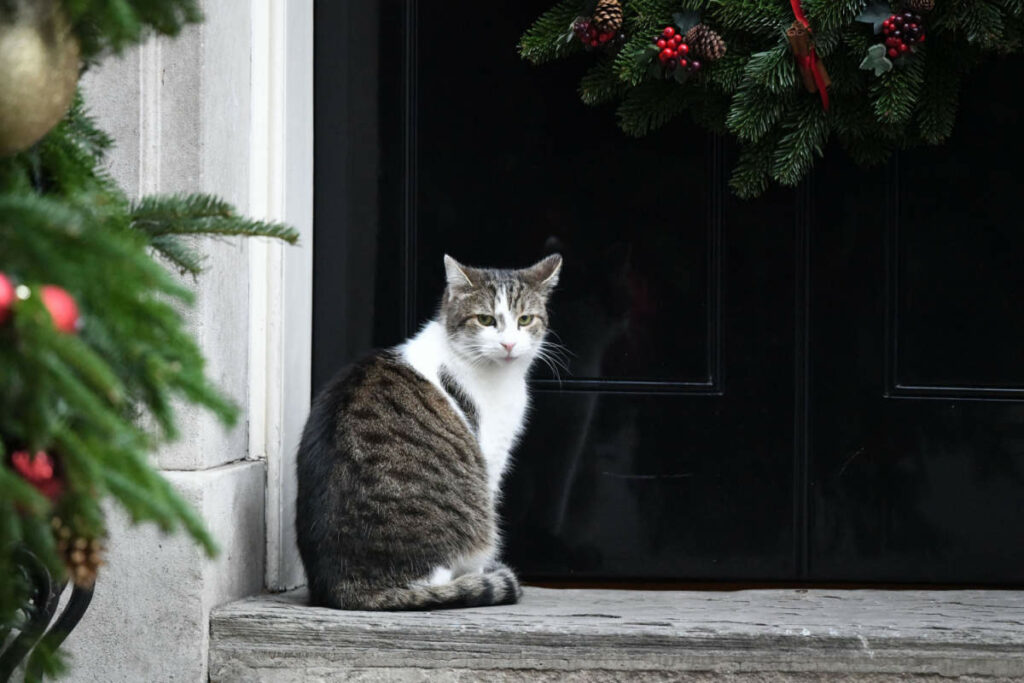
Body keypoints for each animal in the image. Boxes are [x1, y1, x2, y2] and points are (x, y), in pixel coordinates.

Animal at [296, 253, 565, 610]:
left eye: (524, 320)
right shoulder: (490, 457)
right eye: (485, 320)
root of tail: (345, 587)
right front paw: (482, 574)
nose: (508, 344)